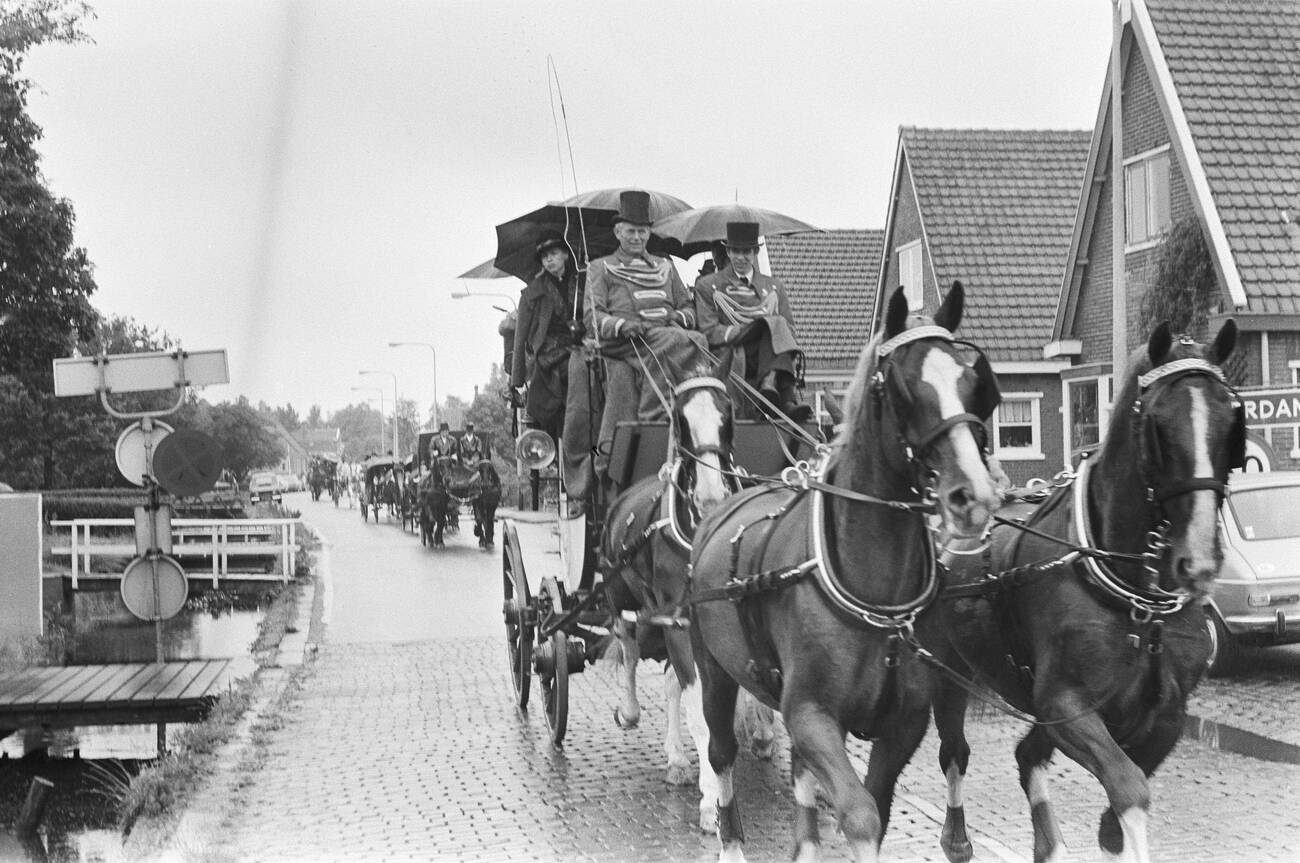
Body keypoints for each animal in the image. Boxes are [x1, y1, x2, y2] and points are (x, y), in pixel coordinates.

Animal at [691, 284, 1003, 863]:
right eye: (904, 386)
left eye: (973, 383)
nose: (973, 494)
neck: (874, 591)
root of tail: (723, 503)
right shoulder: (811, 715)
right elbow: (859, 815)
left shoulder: (903, 725)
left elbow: (872, 807)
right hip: (714, 671)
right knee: (721, 754)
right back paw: (731, 841)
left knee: (799, 776)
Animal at [930, 318, 1242, 863]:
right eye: (1158, 426)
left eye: (1230, 421)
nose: (1198, 561)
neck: (1139, 605)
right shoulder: (1066, 705)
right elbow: (1128, 788)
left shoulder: (1165, 716)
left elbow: (1113, 824)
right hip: (945, 677)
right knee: (955, 754)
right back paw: (958, 838)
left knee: (1025, 756)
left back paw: (1048, 845)